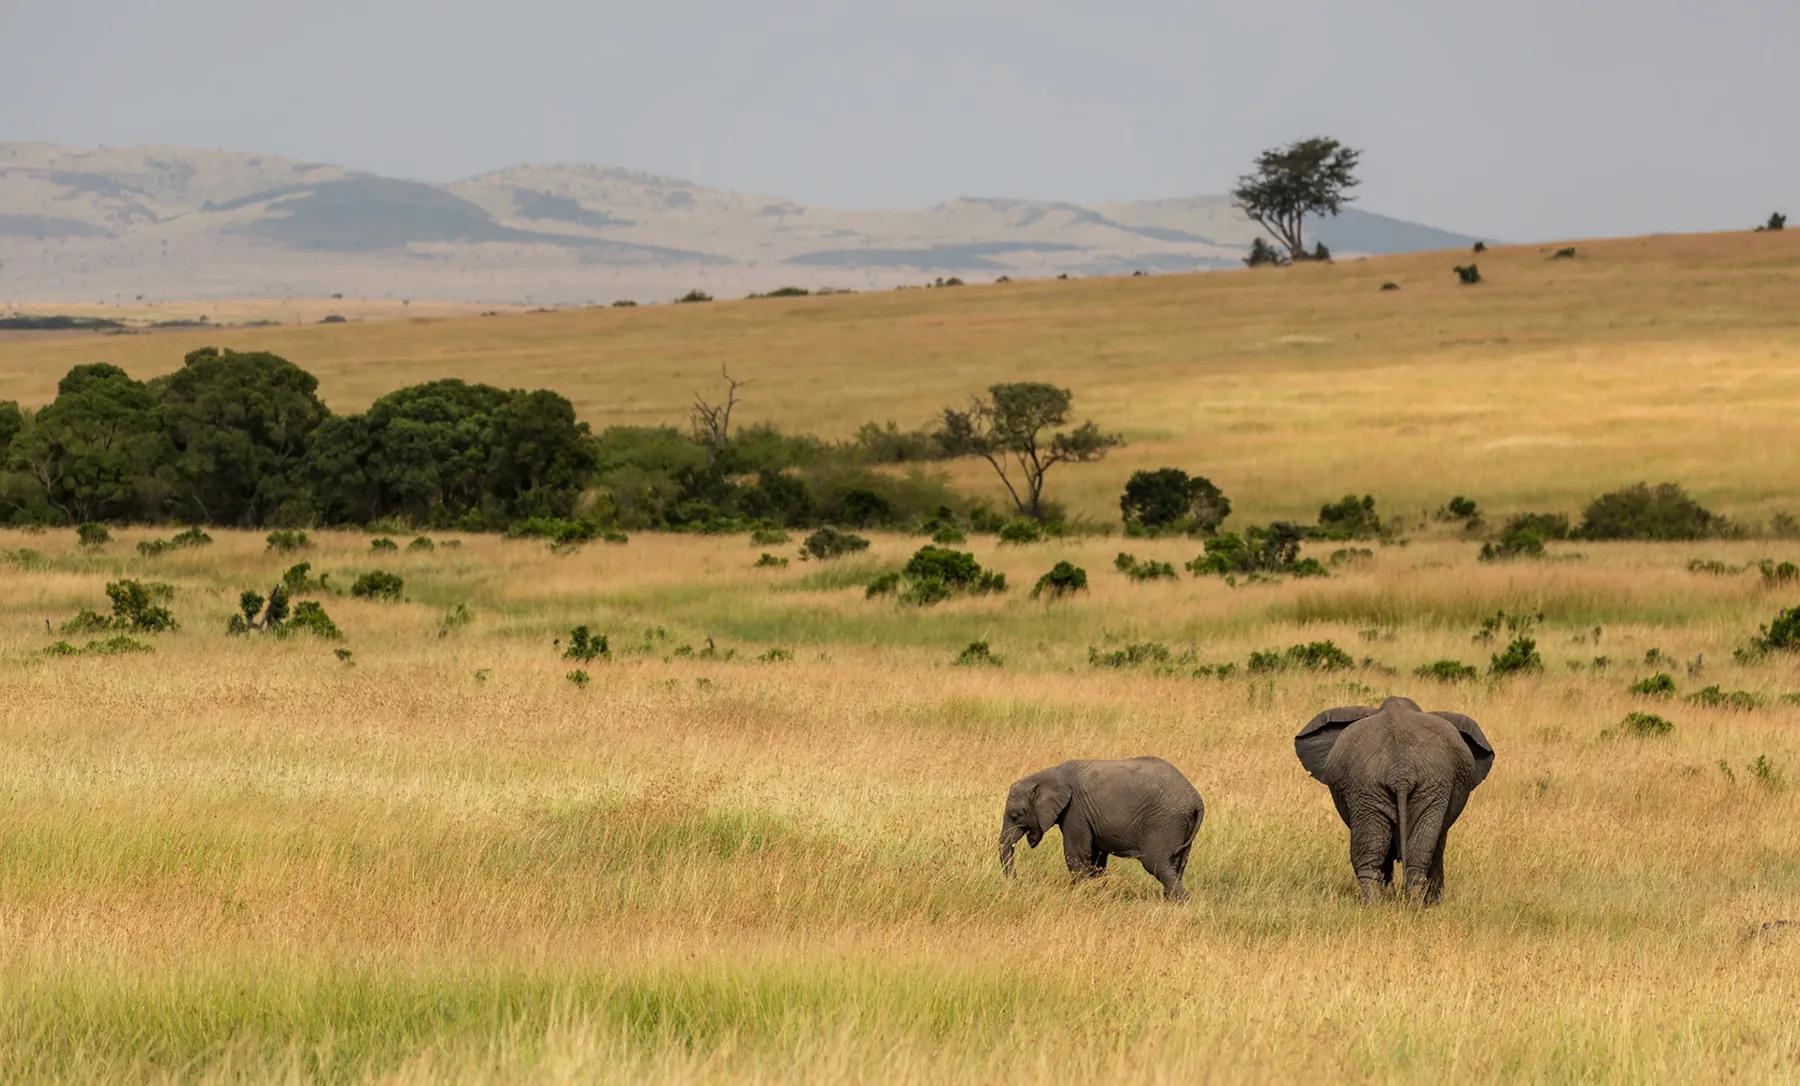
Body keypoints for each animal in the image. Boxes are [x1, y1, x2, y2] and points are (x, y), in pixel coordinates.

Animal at [998, 757, 1205, 902]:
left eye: (1017, 815)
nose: (1018, 884)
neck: (1046, 775)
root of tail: (1196, 800)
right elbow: (1096, 857)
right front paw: (1097, 892)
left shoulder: (1075, 810)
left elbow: (1077, 853)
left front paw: (1083, 894)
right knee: (1177, 865)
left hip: (1164, 822)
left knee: (1156, 863)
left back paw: (1184, 903)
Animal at [1295, 696, 1494, 905]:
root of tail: (1401, 771)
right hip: (1379, 788)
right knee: (1398, 853)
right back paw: (1396, 905)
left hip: (1399, 787)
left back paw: (1391, 905)